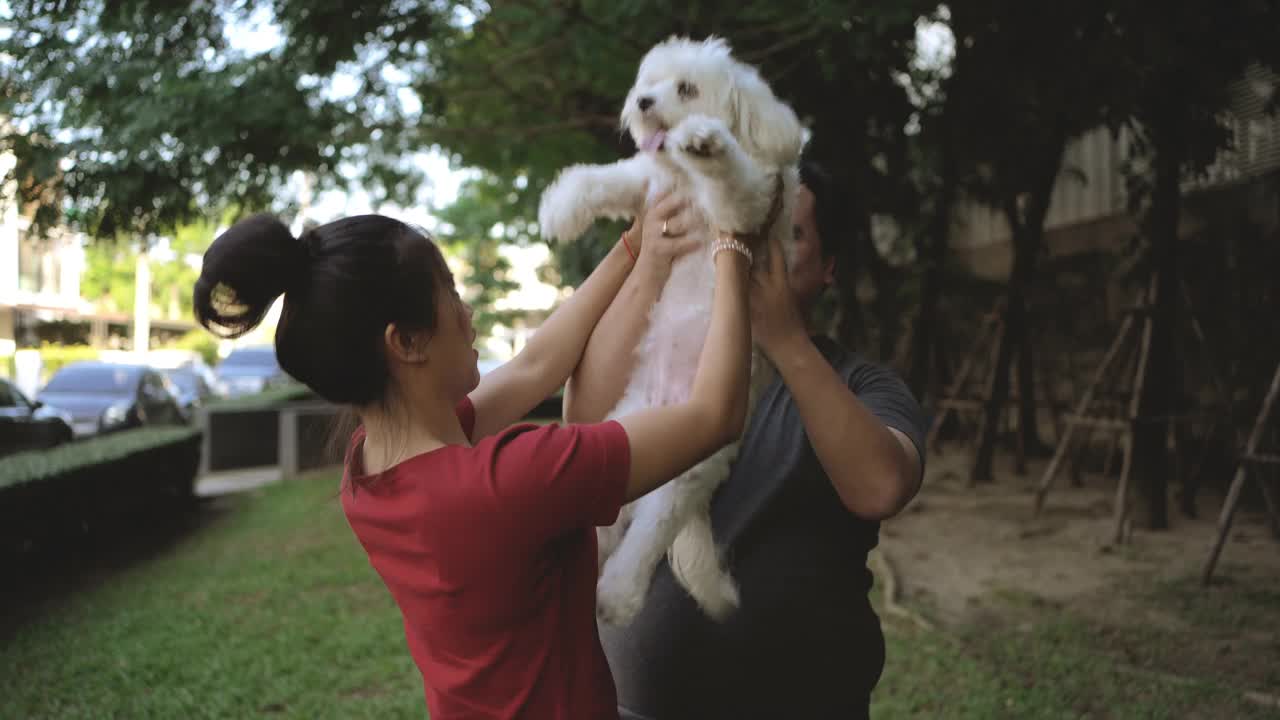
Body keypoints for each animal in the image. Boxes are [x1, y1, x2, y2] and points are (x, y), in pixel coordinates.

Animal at [537, 36, 798, 625]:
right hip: (619, 443)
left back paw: (615, 594)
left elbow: (731, 178)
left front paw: (705, 142)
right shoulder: (648, 184)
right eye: (648, 84)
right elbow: (607, 176)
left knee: (647, 536)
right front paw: (561, 207)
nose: (643, 103)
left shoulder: (748, 204)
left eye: (685, 89)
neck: (682, 181)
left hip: (686, 472)